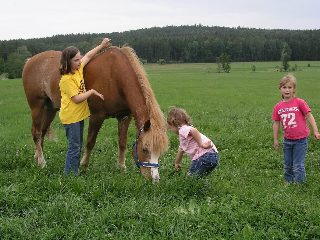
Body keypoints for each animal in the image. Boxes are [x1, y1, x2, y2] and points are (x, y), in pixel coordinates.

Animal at [21, 46, 168, 181]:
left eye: (160, 152)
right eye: (144, 149)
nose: (154, 179)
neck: (116, 76)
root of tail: (30, 61)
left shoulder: (125, 117)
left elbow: (122, 142)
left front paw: (121, 167)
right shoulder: (97, 116)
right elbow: (90, 142)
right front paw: (84, 165)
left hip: (50, 108)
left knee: (42, 131)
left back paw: (37, 156)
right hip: (37, 106)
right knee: (36, 132)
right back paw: (42, 162)